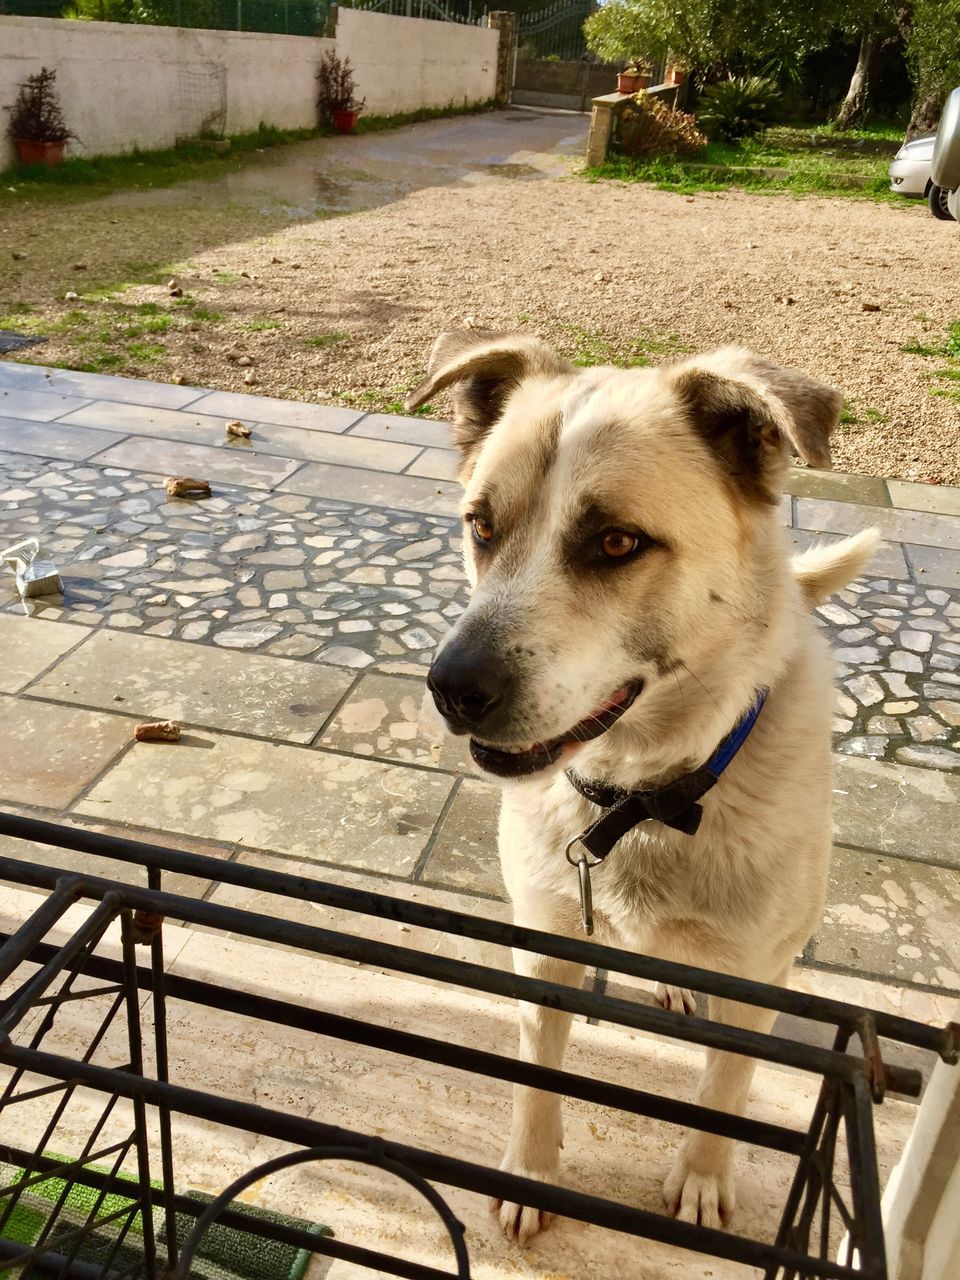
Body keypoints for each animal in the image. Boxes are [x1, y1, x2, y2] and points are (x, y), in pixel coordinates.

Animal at [407, 330, 880, 1239]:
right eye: (481, 525)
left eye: (618, 543)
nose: (451, 688)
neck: (642, 797)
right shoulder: (544, 939)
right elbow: (539, 1072)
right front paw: (532, 1173)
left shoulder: (757, 972)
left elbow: (726, 1089)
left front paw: (700, 1179)